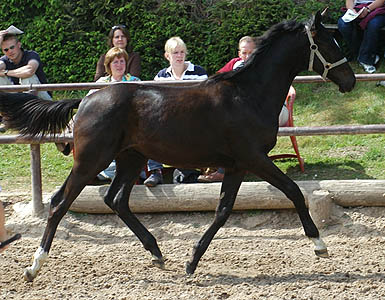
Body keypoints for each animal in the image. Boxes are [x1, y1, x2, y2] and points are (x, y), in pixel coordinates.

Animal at [0, 11, 354, 282]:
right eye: (327, 43)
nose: (350, 80)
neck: (247, 96)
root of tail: (86, 100)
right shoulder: (254, 158)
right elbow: (293, 191)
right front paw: (319, 245)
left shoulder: (237, 165)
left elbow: (223, 210)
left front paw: (191, 261)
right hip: (92, 160)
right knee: (60, 202)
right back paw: (34, 267)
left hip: (130, 159)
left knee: (116, 200)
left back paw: (157, 253)